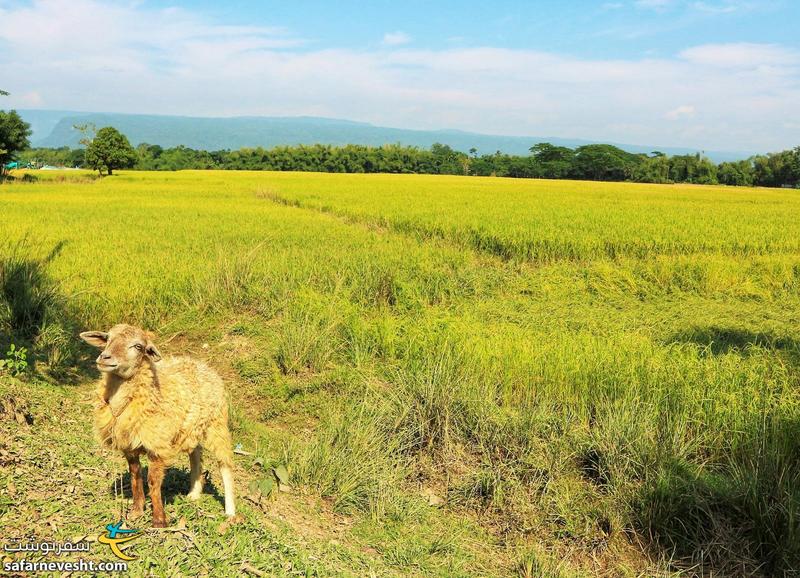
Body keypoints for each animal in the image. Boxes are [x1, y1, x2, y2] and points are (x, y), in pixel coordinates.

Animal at [80, 324, 234, 528]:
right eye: (108, 339)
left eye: (138, 346)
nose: (105, 357)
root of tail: (202, 365)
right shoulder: (129, 444)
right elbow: (135, 476)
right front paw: (136, 511)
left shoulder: (157, 445)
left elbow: (153, 481)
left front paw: (159, 520)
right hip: (191, 428)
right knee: (195, 454)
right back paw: (193, 493)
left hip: (217, 424)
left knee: (225, 464)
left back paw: (230, 512)